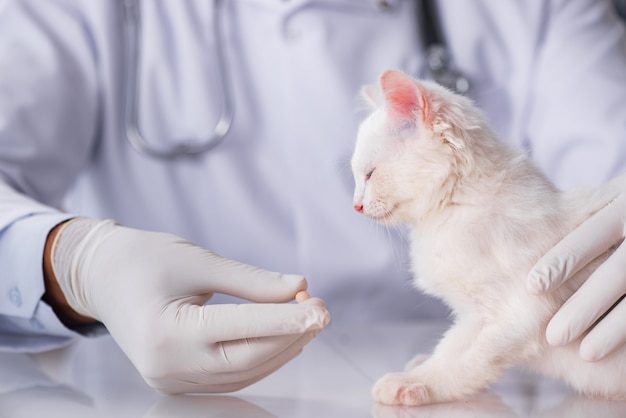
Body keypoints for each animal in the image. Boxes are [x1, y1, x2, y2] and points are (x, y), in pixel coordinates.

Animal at [348, 70, 620, 406]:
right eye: (358, 176)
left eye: (370, 174)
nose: (356, 205)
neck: (458, 204)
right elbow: (454, 349)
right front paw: (420, 365)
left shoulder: (510, 314)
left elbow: (457, 359)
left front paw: (415, 381)